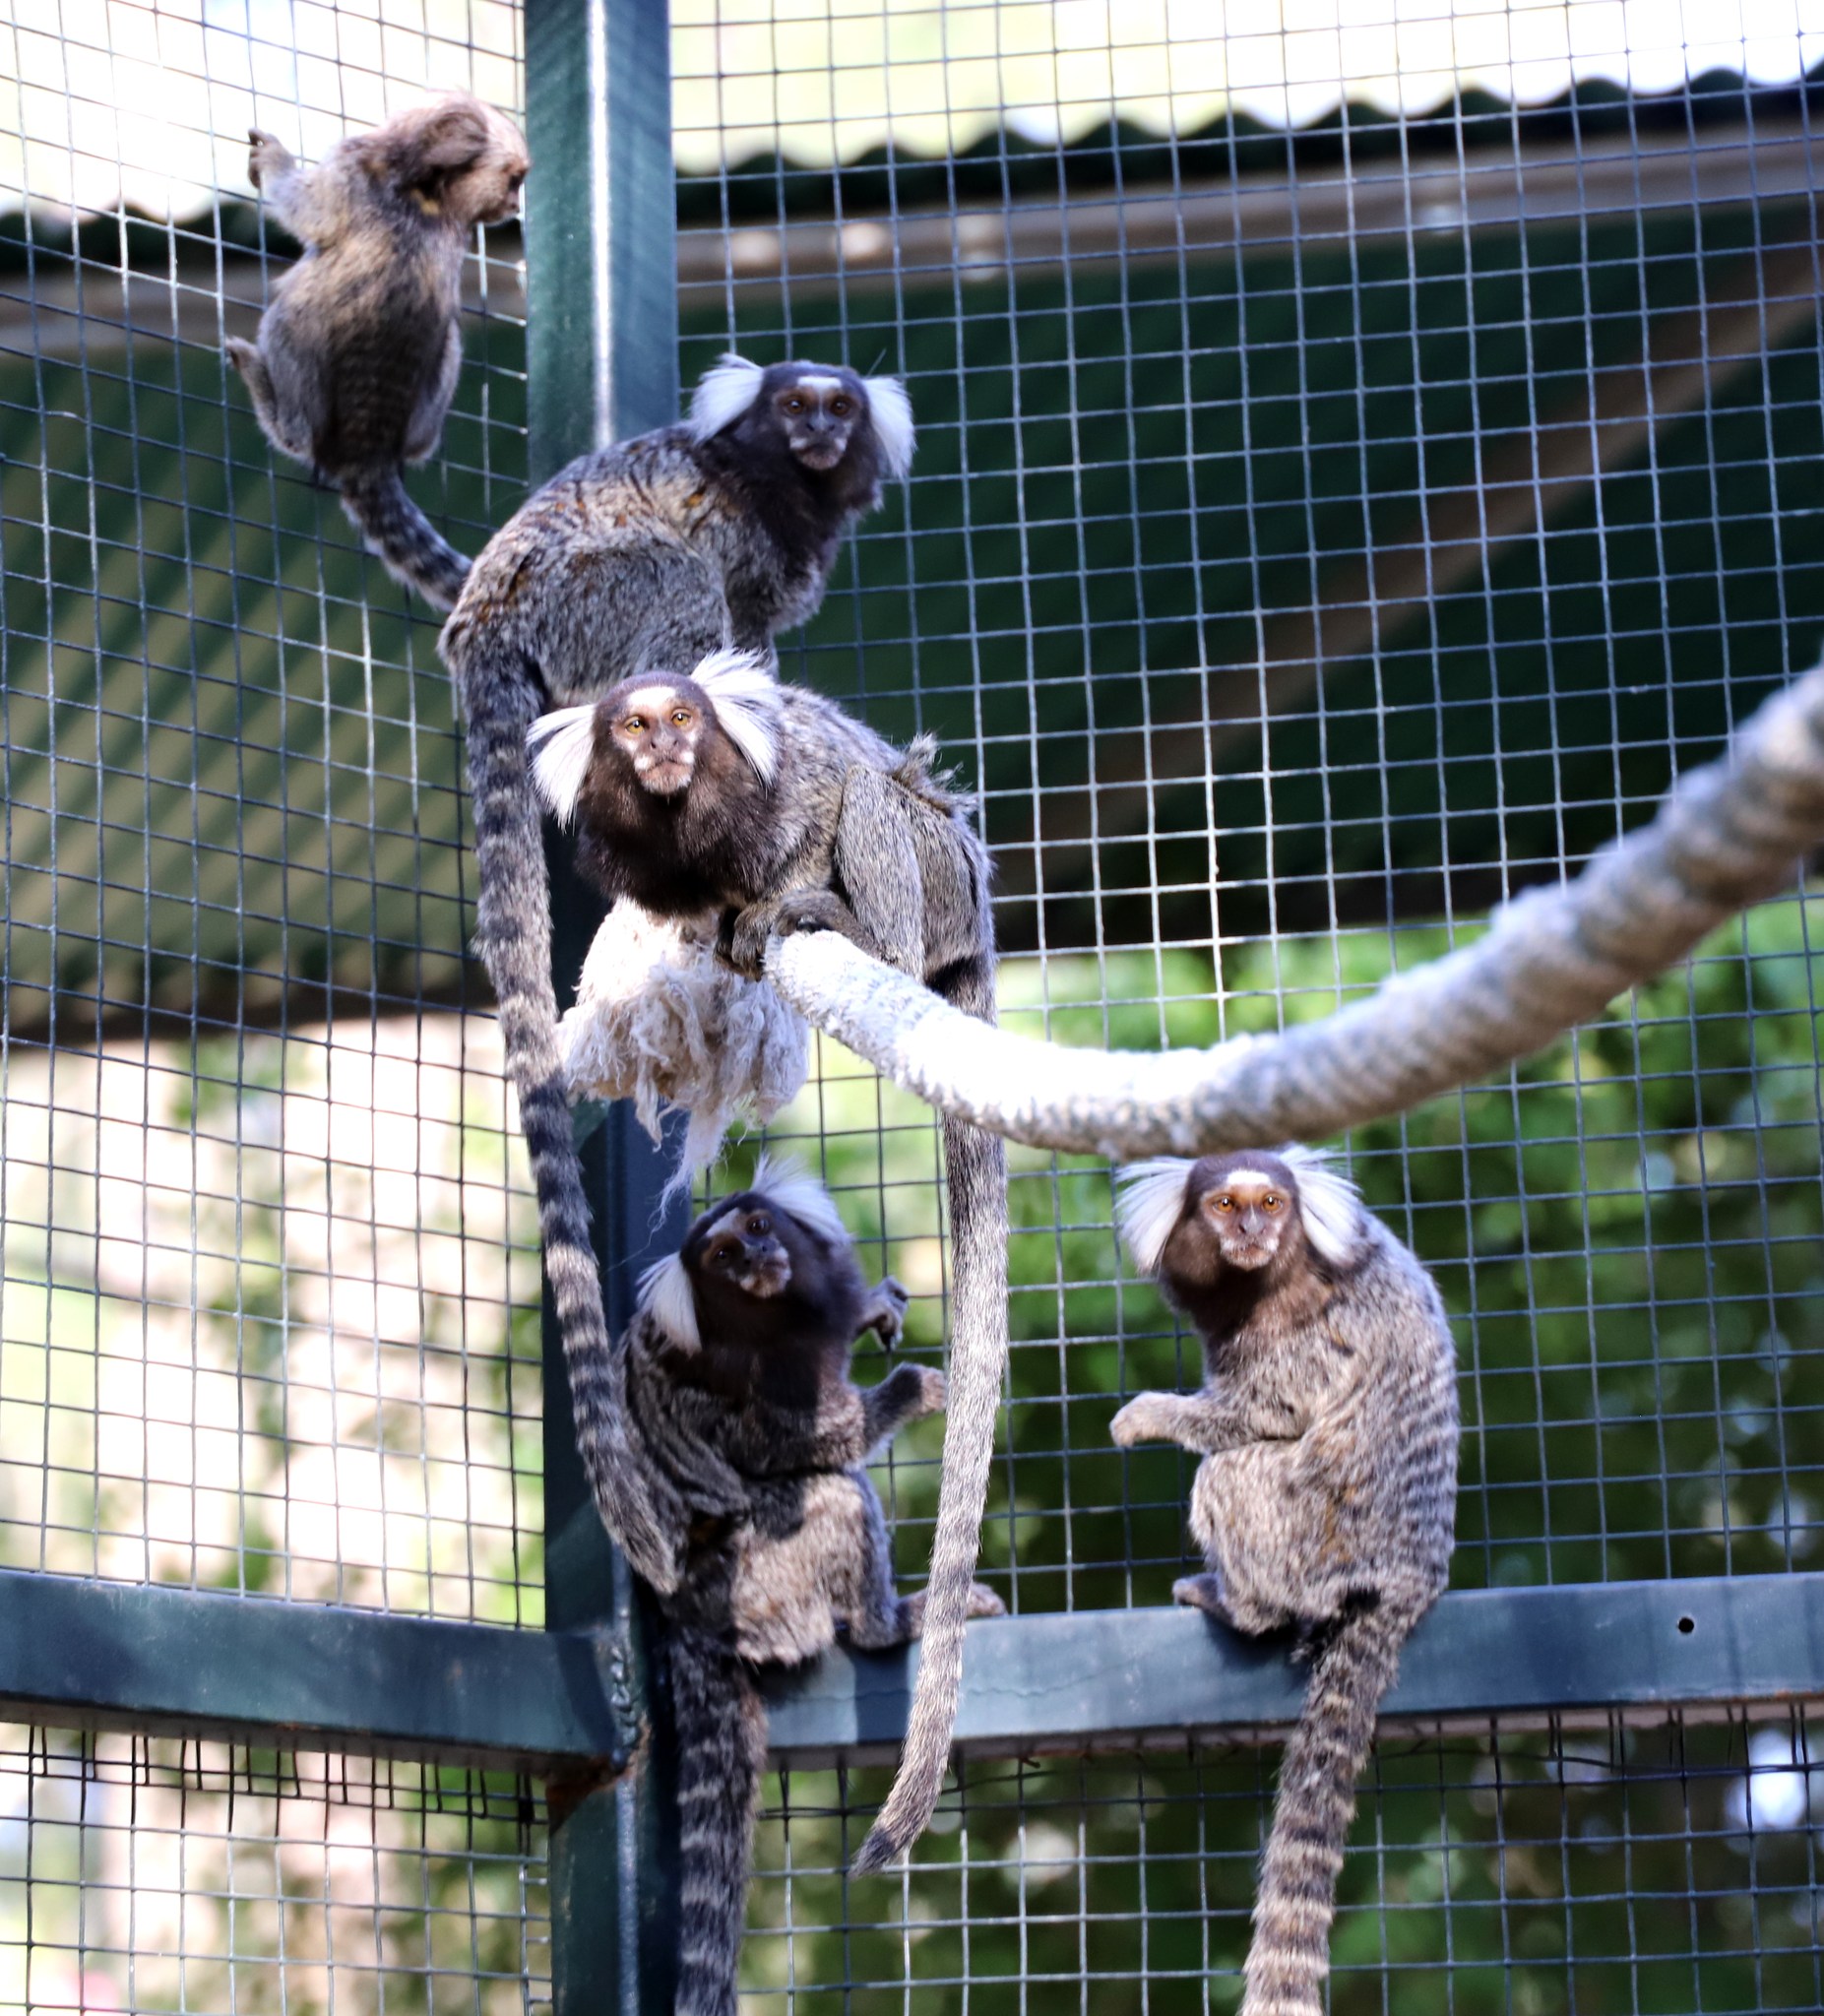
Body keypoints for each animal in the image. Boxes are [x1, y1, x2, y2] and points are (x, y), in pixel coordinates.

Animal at [225, 93, 529, 611]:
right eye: (514, 181)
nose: (513, 203)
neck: (428, 190)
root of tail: (368, 447)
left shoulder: (351, 168)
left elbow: (308, 209)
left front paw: (273, 162)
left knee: (289, 321)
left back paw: (273, 401)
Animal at [524, 644, 1007, 1872]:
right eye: (632, 725)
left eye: (681, 721)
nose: (661, 744)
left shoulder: (785, 781)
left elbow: (830, 797)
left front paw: (784, 893)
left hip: (939, 875)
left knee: (886, 806)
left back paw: (854, 926)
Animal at [612, 1158, 1004, 2016]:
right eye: (721, 1258)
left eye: (758, 1228)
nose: (756, 1262)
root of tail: (686, 1614)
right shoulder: (754, 1386)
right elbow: (810, 1445)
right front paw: (913, 1390)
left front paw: (870, 1311)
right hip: (758, 1579)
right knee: (834, 1495)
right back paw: (894, 1620)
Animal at [1110, 1146, 1458, 2016]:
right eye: (1223, 1205)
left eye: (1270, 1203)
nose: (1249, 1231)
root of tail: (1411, 1577)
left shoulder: (1303, 1330)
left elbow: (1268, 1412)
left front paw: (1149, 1415)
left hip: (1314, 1536)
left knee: (1231, 1476)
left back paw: (1236, 1604)